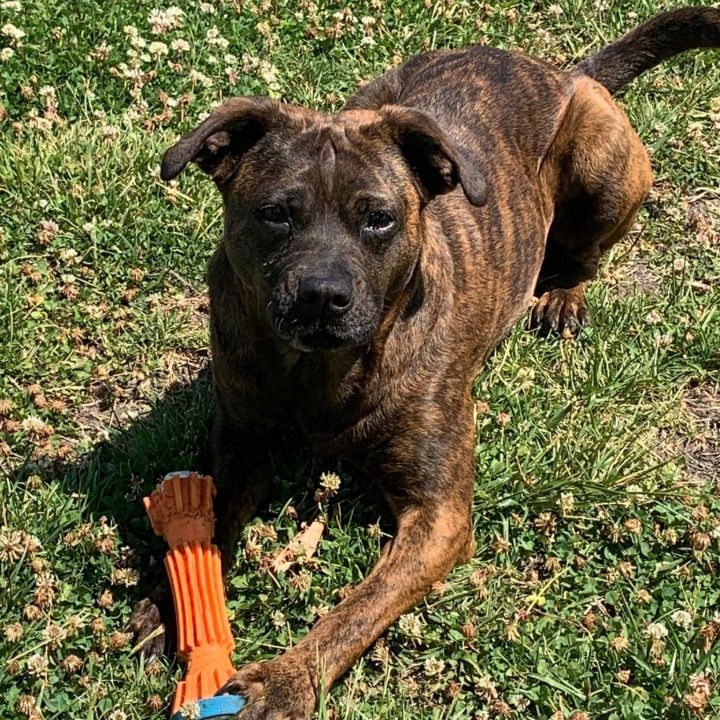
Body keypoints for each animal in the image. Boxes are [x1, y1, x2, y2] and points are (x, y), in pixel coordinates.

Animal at [131, 7, 720, 720]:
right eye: (275, 214)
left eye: (379, 219)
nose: (322, 295)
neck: (322, 377)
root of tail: (563, 72)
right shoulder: (241, 443)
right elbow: (208, 523)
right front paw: (167, 601)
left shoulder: (437, 516)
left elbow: (356, 609)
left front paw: (286, 680)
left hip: (606, 167)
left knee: (585, 255)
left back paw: (562, 297)